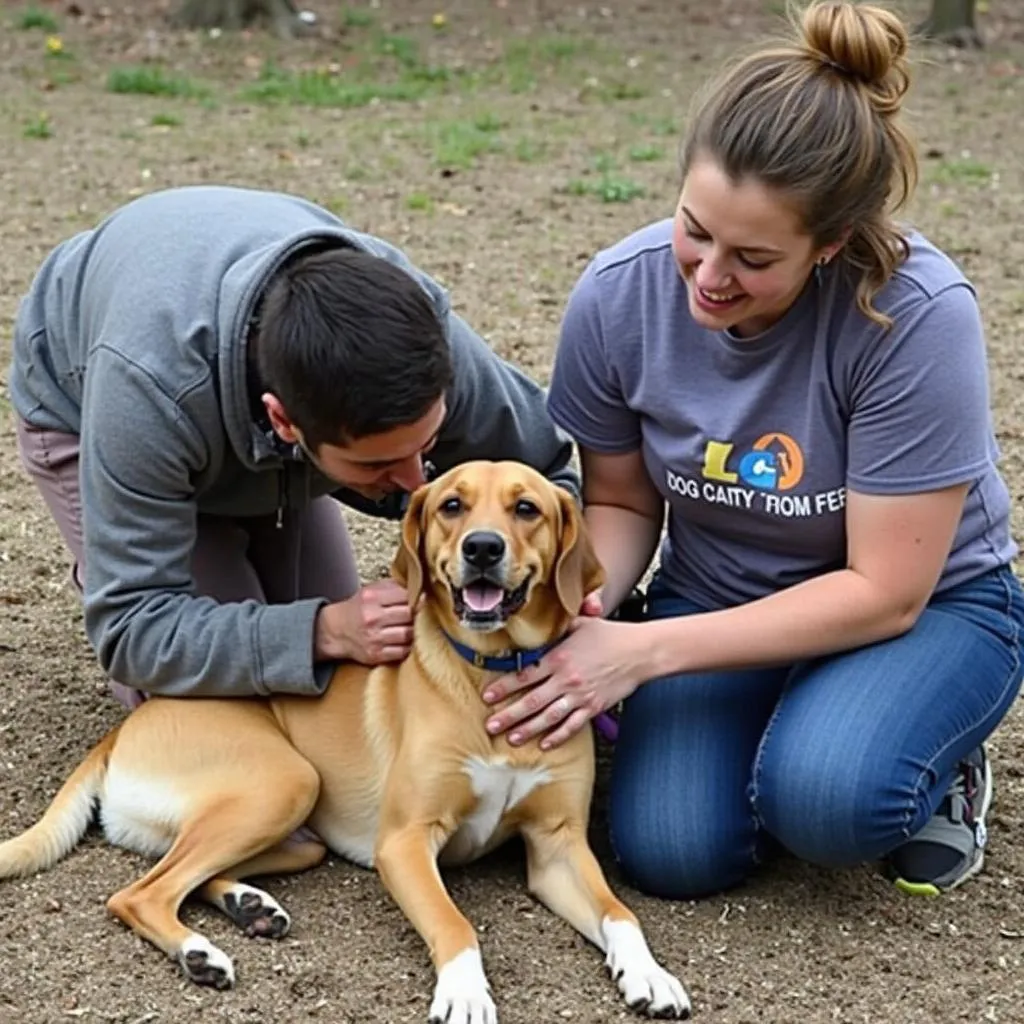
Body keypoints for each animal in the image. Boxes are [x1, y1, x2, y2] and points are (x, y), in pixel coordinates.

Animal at [0, 464, 692, 1024]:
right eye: (452, 505)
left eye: (527, 508)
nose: (482, 547)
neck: (493, 672)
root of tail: (125, 726)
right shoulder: (406, 843)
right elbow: (454, 922)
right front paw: (465, 992)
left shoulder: (558, 846)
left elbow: (620, 912)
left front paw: (651, 974)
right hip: (284, 782)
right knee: (140, 892)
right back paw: (200, 952)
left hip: (291, 828)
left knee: (184, 874)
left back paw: (249, 905)